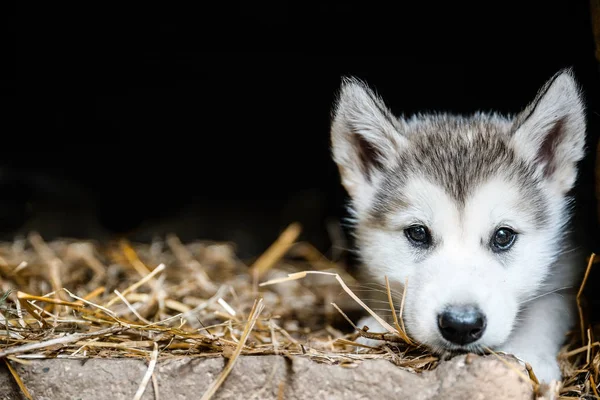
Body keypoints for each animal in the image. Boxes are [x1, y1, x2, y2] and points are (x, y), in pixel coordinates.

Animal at [328, 69, 584, 384]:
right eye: (417, 233)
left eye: (503, 236)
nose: (461, 325)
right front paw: (373, 327)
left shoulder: (564, 276)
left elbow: (546, 309)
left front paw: (530, 354)